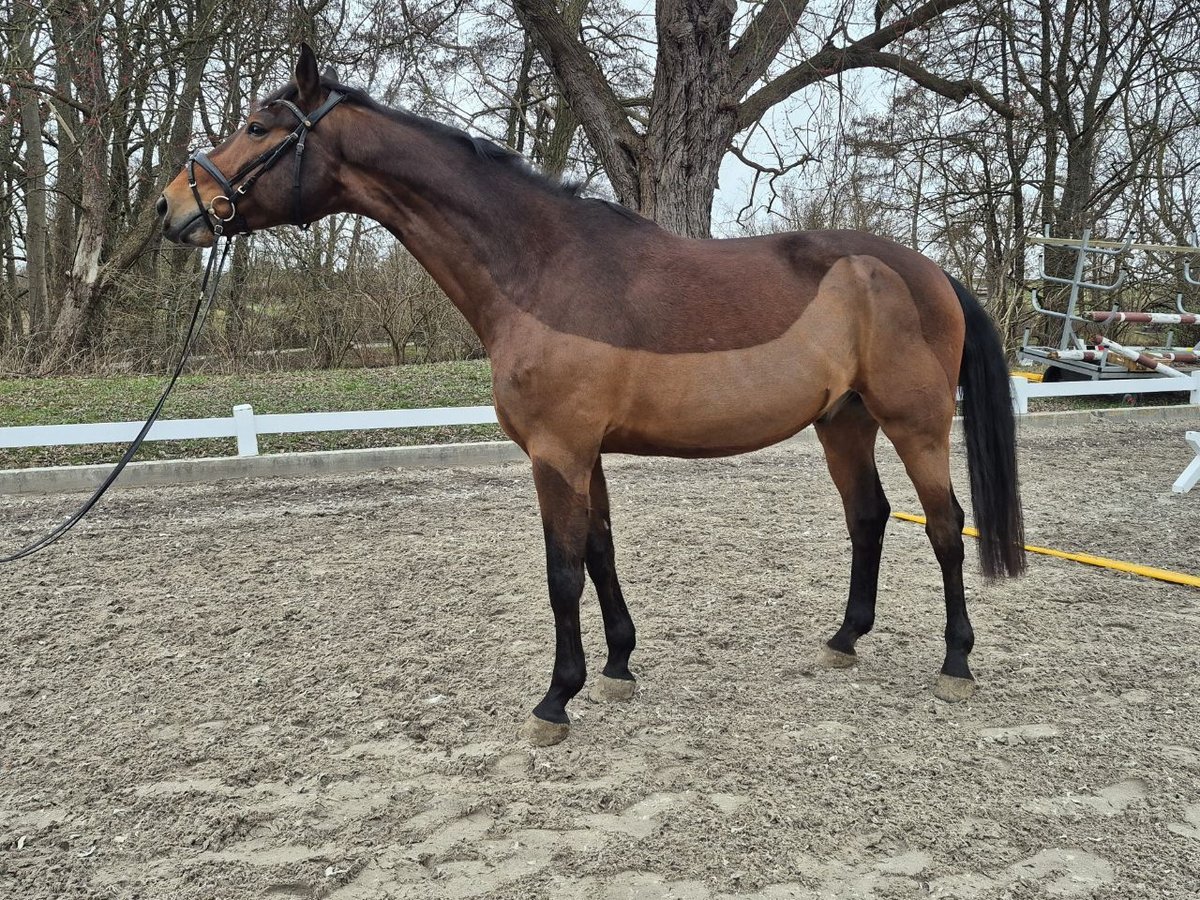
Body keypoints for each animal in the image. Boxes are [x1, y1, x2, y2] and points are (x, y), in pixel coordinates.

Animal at [158, 44, 1025, 747]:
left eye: (259, 128)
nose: (173, 206)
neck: (541, 268)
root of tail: (929, 272)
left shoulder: (557, 453)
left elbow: (562, 571)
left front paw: (556, 700)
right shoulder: (587, 455)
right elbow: (602, 552)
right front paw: (617, 668)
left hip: (915, 425)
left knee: (945, 527)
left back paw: (955, 662)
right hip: (843, 424)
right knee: (869, 518)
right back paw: (845, 640)